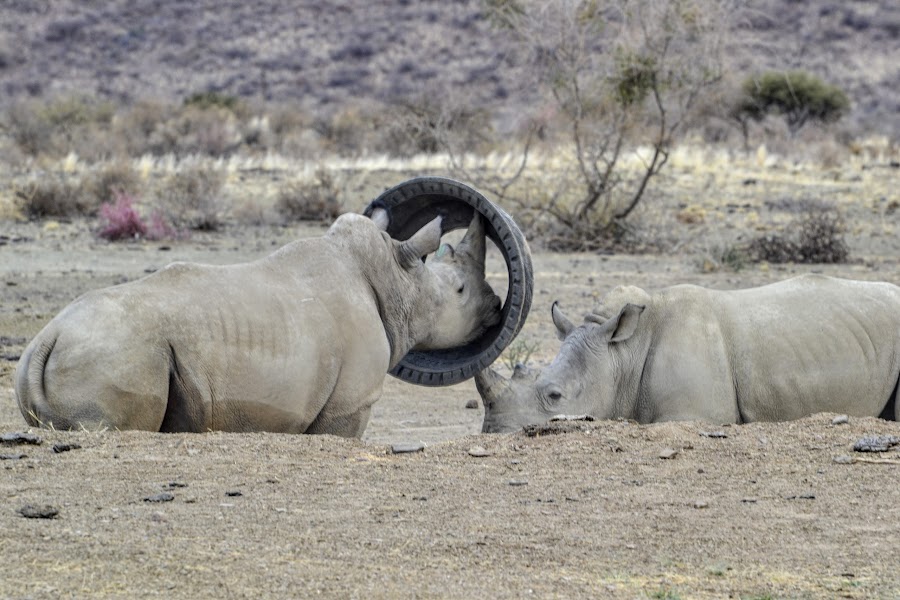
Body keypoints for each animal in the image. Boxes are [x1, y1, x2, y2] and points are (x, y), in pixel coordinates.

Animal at [15, 211, 500, 436]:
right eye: (460, 290)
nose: (497, 306)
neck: (399, 280)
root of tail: (44, 339)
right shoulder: (350, 404)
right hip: (121, 349)